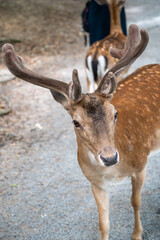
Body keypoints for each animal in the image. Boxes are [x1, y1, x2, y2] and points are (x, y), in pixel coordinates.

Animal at [2, 23, 160, 240]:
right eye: (76, 122)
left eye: (115, 113)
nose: (110, 158)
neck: (112, 173)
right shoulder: (95, 183)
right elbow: (104, 224)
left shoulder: (140, 165)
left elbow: (135, 202)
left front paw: (137, 234)